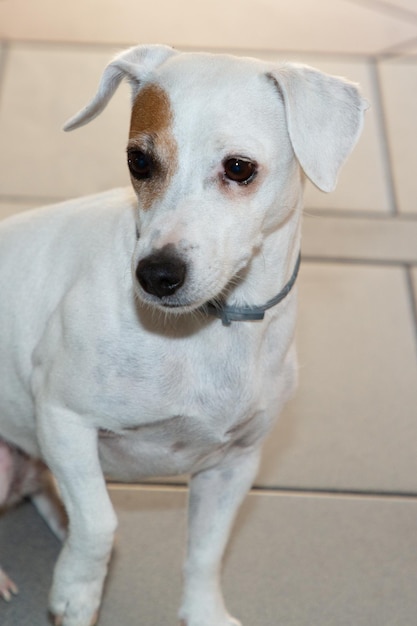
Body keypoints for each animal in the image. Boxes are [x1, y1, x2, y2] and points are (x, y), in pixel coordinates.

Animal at [0, 45, 364, 624]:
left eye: (239, 168)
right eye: (138, 161)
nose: (155, 274)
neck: (210, 327)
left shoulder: (233, 467)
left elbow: (206, 552)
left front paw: (202, 611)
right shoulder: (63, 418)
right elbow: (99, 524)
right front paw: (77, 591)